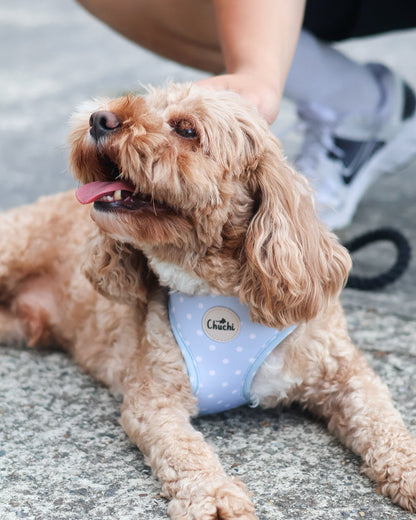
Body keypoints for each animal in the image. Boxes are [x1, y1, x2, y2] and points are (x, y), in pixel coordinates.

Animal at [0, 83, 416, 516]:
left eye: (187, 130)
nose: (99, 118)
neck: (218, 291)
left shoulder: (344, 371)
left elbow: (382, 419)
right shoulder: (154, 401)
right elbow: (186, 453)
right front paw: (214, 497)